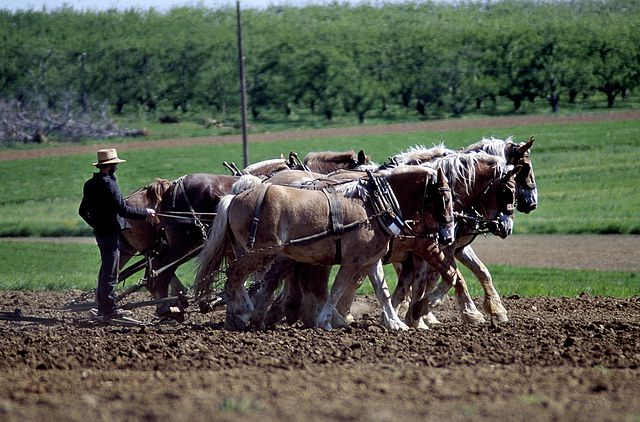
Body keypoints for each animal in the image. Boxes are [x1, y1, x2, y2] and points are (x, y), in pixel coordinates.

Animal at [196, 166, 456, 332]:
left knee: (242, 278)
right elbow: (336, 290)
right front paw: (326, 321)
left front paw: (395, 323)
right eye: (445, 199)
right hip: (260, 253)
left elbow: (381, 291)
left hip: (252, 252)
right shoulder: (352, 261)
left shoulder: (371, 260)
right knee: (236, 275)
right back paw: (242, 313)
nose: (448, 236)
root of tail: (234, 197)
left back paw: (244, 316)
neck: (373, 204)